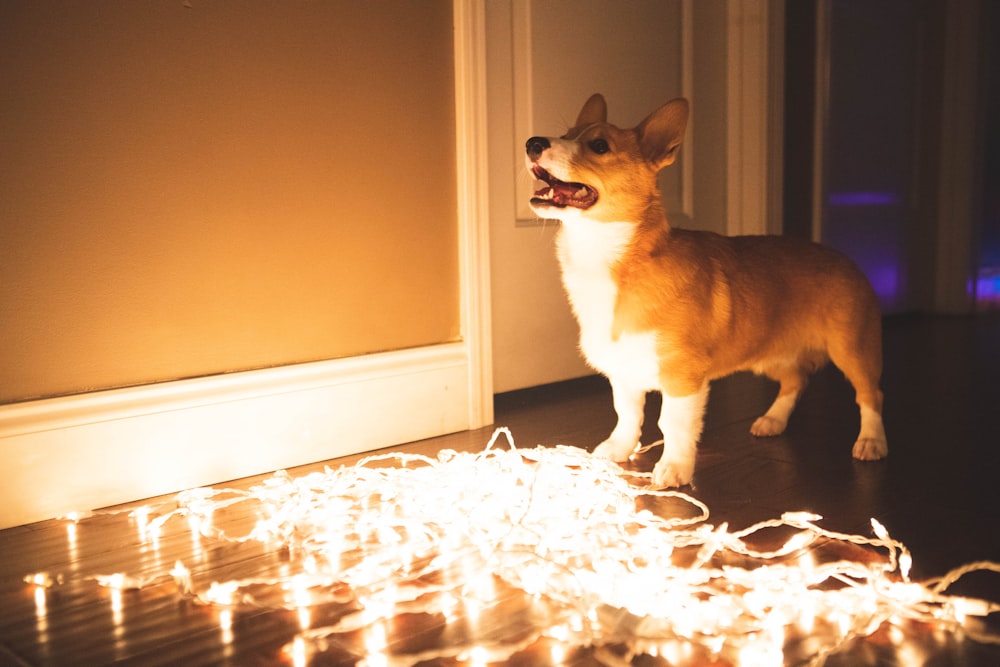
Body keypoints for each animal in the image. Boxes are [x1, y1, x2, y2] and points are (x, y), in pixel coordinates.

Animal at [528, 94, 888, 488]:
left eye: (598, 145)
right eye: (567, 134)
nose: (532, 143)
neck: (610, 255)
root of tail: (845, 257)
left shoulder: (683, 377)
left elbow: (672, 424)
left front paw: (674, 468)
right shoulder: (624, 372)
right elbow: (627, 414)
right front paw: (620, 449)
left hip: (851, 350)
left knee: (870, 394)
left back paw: (871, 441)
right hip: (770, 355)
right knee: (796, 380)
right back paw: (773, 420)